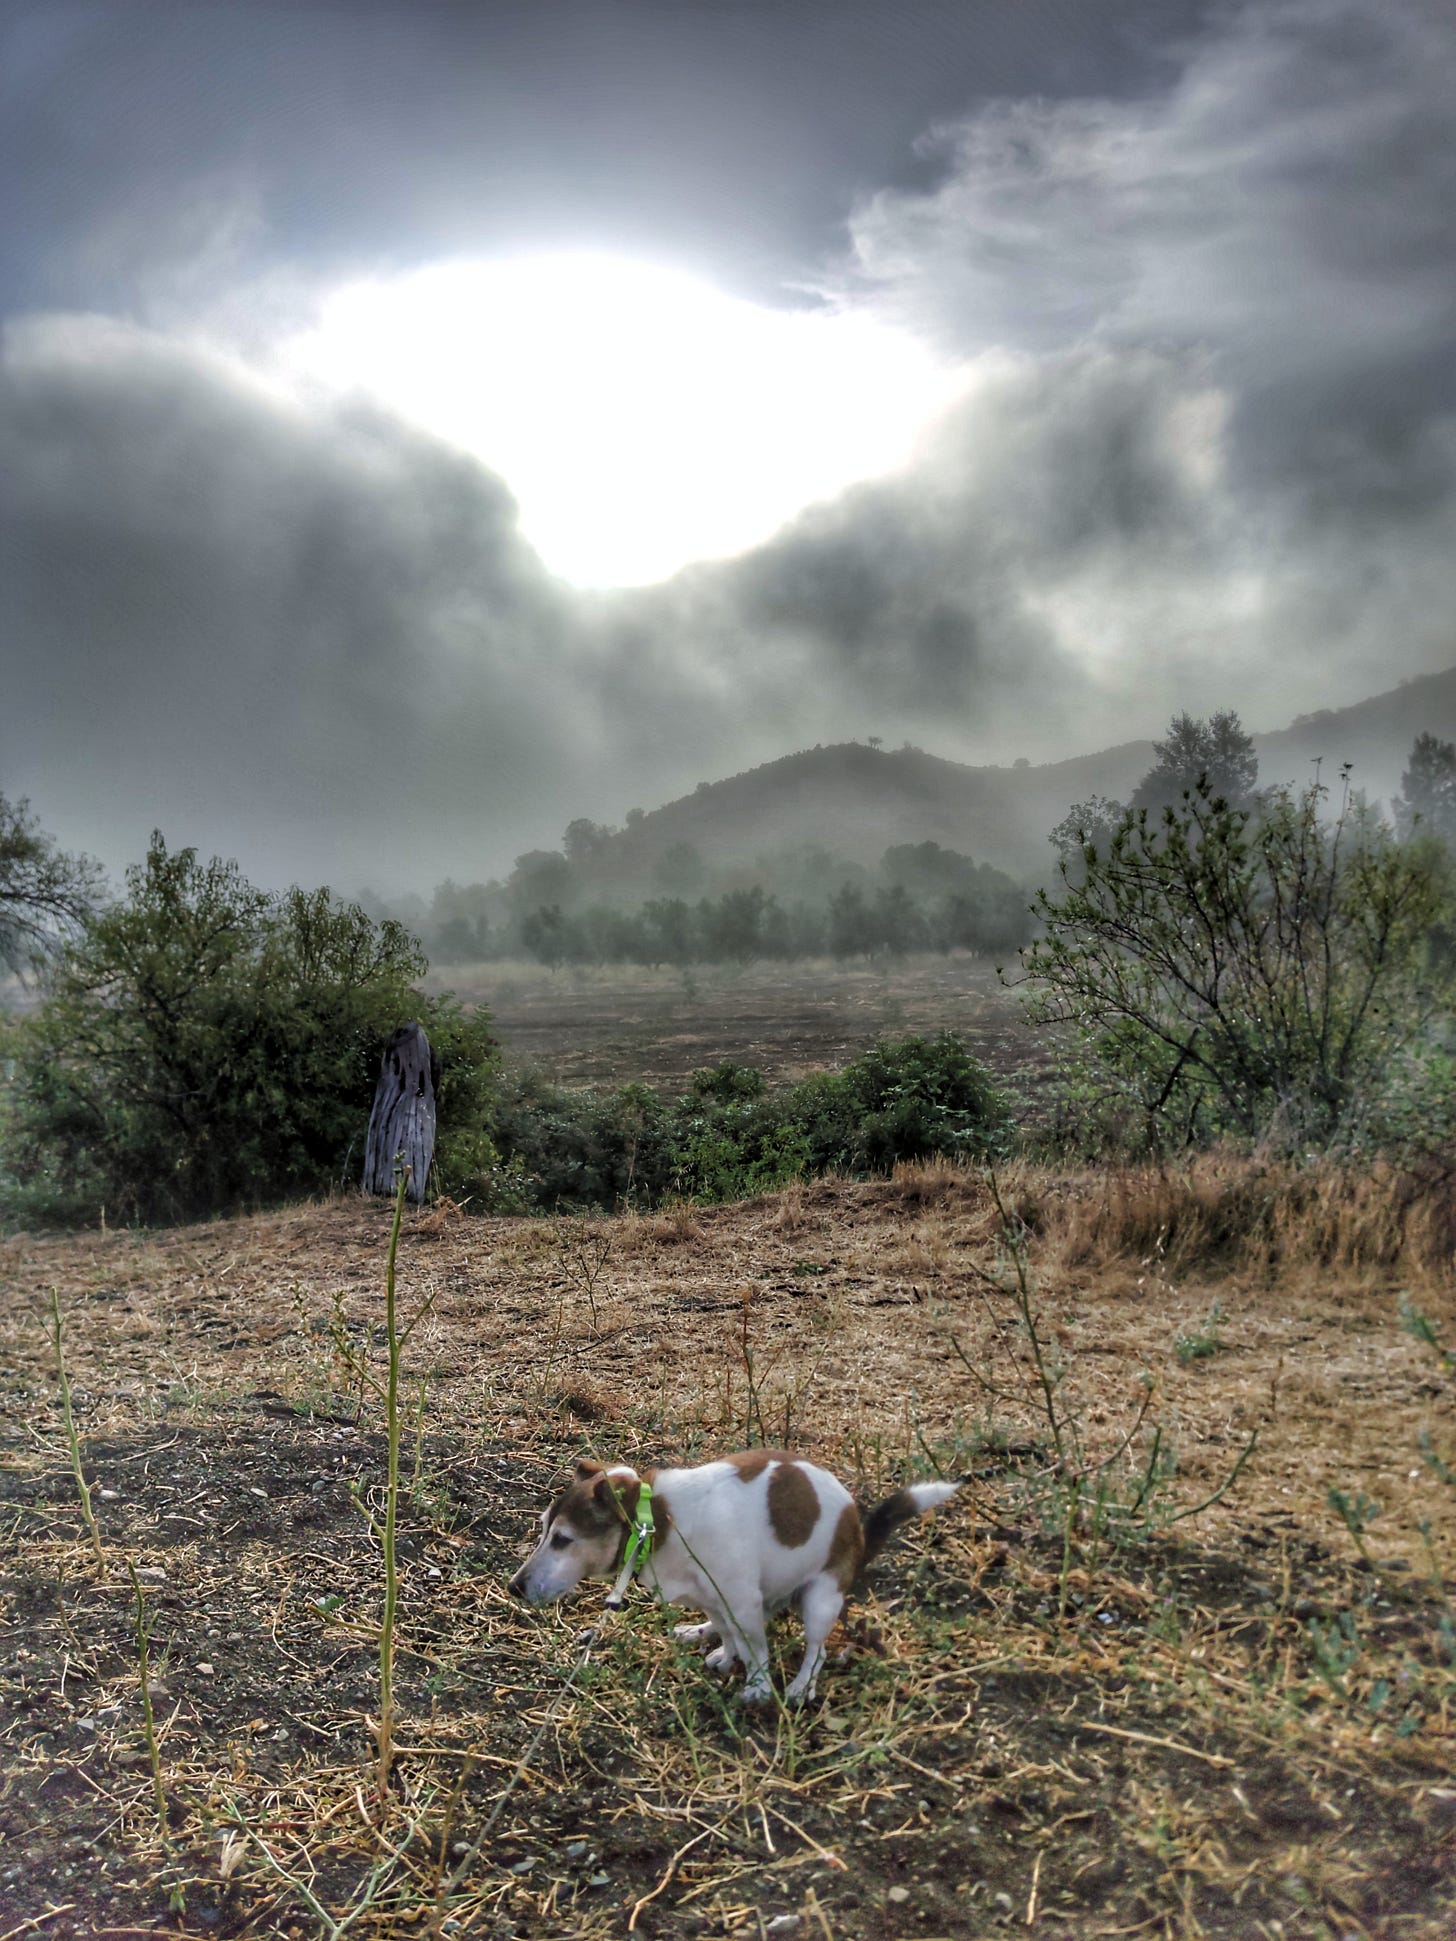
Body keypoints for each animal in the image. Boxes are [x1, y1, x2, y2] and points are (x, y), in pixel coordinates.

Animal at [508, 1450, 962, 1704]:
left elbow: (758, 1651)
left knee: (816, 1651)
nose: (515, 1587)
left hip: (820, 1600)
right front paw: (726, 1655)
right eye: (543, 1529)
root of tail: (859, 1532)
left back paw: (801, 1687)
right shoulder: (715, 1598)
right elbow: (727, 1632)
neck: (659, 1522)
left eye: (563, 1540)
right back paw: (698, 1632)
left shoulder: (742, 1602)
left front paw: (759, 1689)